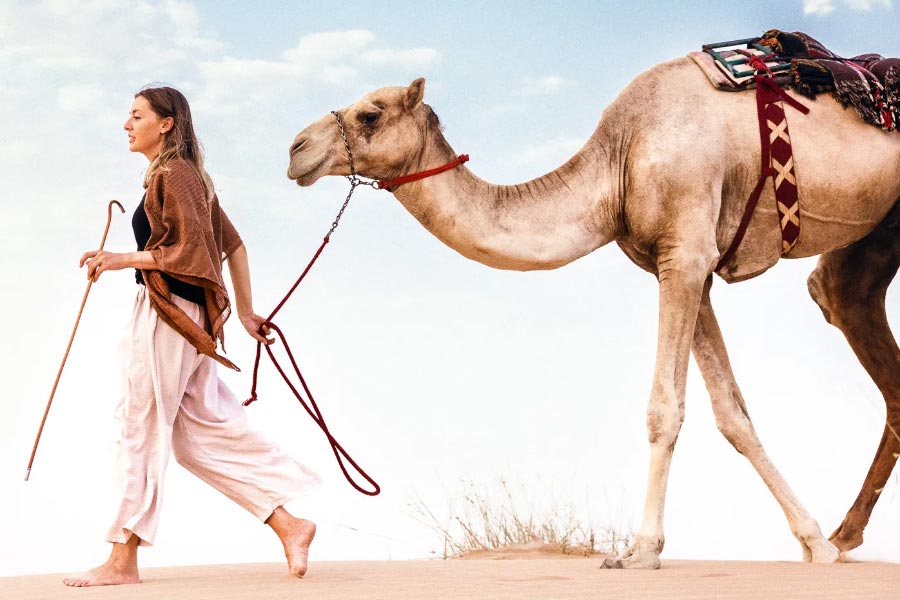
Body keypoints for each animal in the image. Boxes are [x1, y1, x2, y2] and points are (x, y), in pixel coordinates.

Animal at [286, 56, 900, 568]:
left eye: (370, 113)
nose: (295, 148)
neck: (619, 162)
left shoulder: (686, 251)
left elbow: (664, 408)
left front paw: (641, 550)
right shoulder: (683, 265)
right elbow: (733, 413)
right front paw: (815, 542)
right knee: (847, 304)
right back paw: (845, 534)